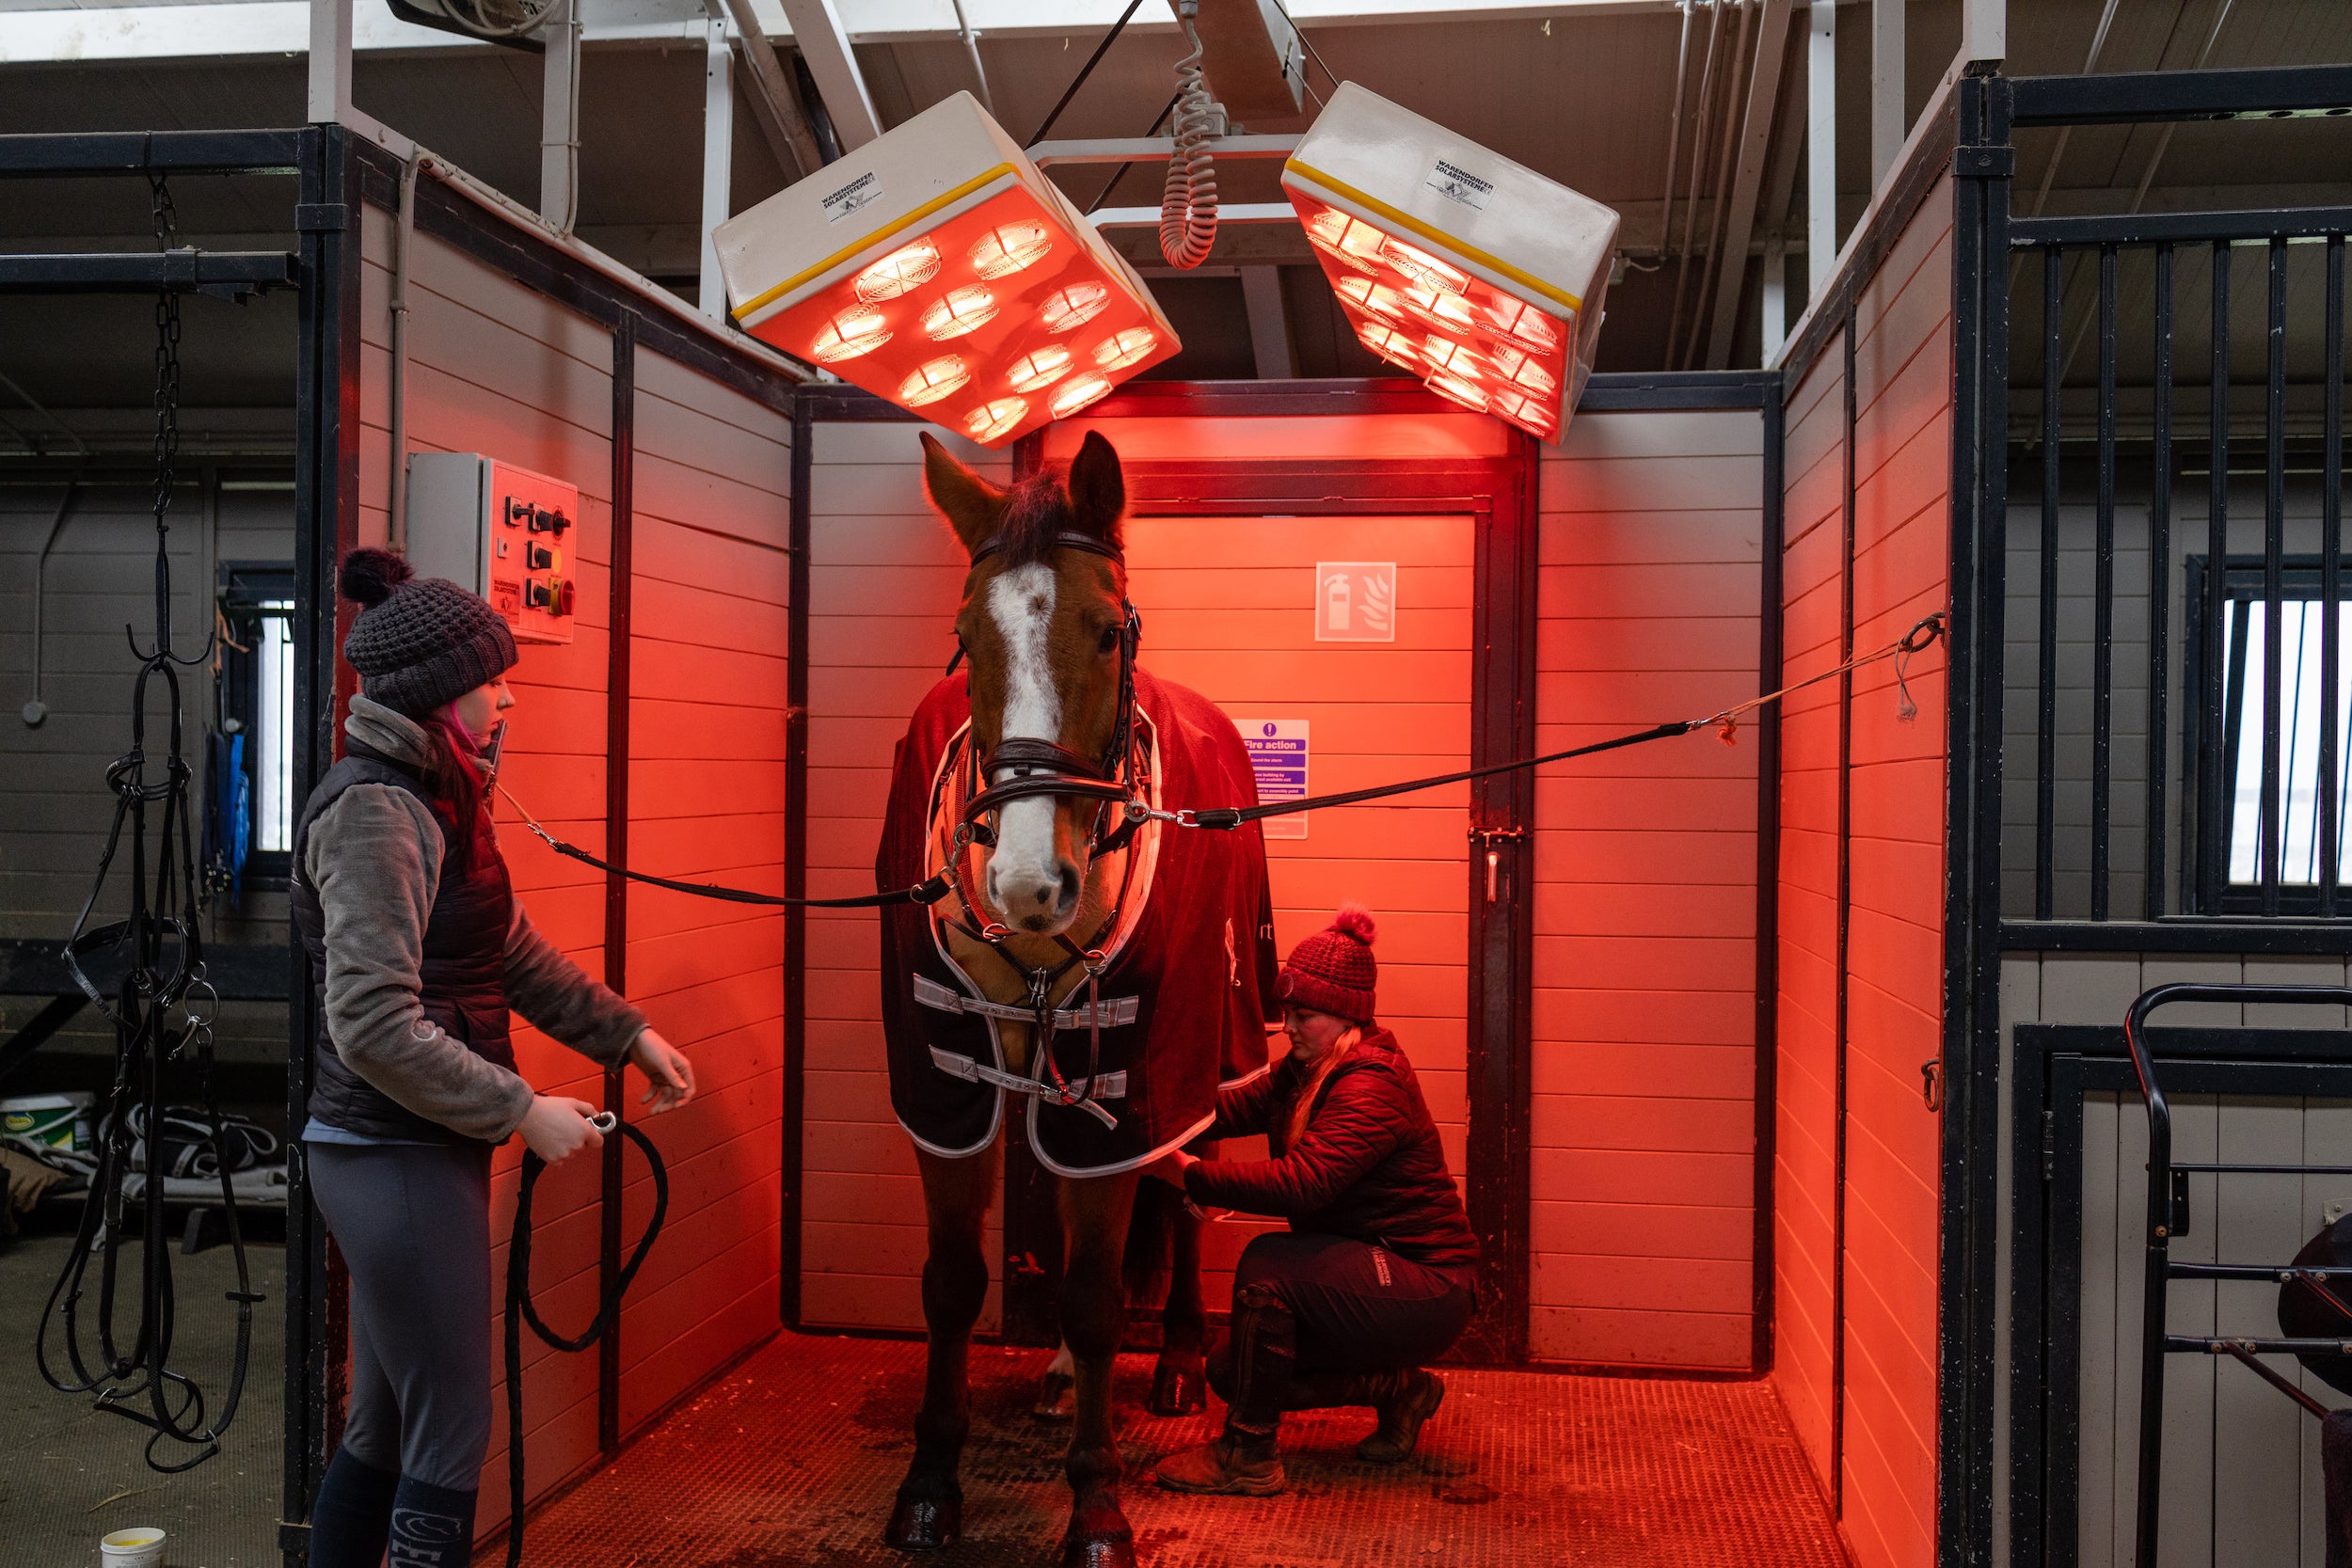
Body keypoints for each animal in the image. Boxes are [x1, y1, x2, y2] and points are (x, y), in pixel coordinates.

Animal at [872, 430, 1278, 1568]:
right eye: (967, 635)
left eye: (1103, 630)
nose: (1025, 882)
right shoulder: (948, 1081)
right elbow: (953, 1282)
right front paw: (931, 1479)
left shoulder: (1134, 1076)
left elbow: (1100, 1293)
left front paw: (1095, 1504)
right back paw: (1058, 1373)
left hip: (1205, 1047)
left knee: (1183, 1193)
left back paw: (1178, 1356)